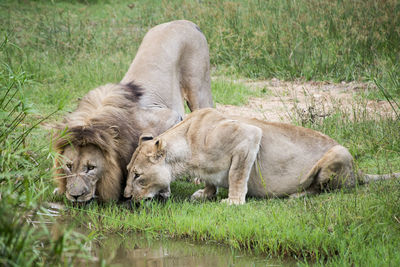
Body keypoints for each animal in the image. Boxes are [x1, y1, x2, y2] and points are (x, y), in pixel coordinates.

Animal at [55, 20, 216, 203]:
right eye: (68, 166)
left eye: (90, 168)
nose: (75, 196)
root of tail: (185, 22)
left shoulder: (170, 117)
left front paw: (163, 190)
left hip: (198, 90)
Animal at [123, 109, 398, 205]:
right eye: (129, 171)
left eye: (137, 175)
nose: (125, 197)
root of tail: (358, 170)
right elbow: (211, 180)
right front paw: (205, 193)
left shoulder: (249, 135)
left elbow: (236, 174)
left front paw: (233, 201)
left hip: (338, 154)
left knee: (323, 189)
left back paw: (296, 195)